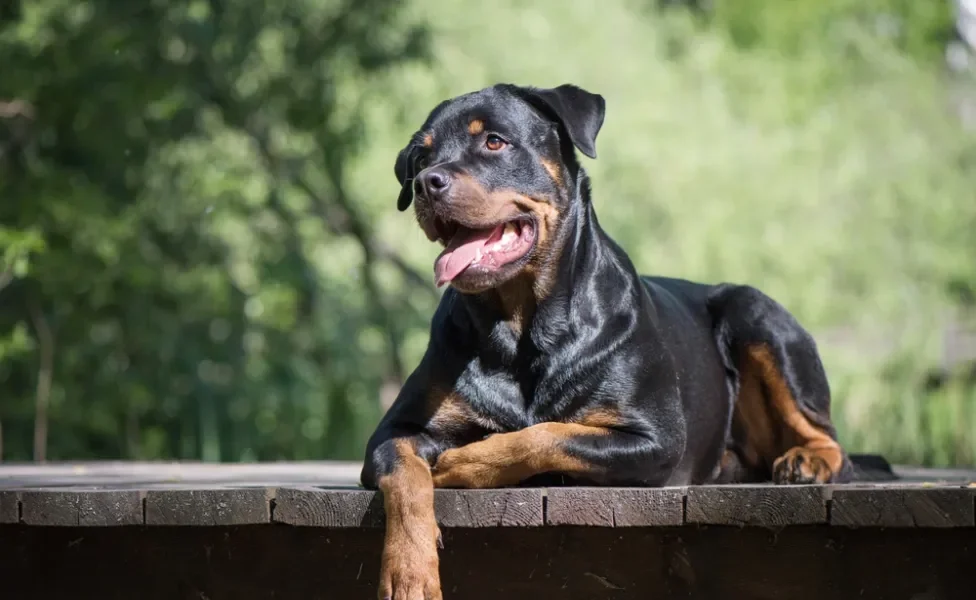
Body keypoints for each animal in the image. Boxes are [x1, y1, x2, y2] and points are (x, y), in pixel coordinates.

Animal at [360, 83, 856, 600]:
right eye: (421, 156)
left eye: (494, 141)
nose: (427, 183)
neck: (522, 327)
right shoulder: (393, 431)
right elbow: (406, 480)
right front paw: (409, 574)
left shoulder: (655, 439)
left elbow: (546, 434)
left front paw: (464, 462)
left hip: (755, 313)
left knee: (830, 438)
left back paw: (808, 461)